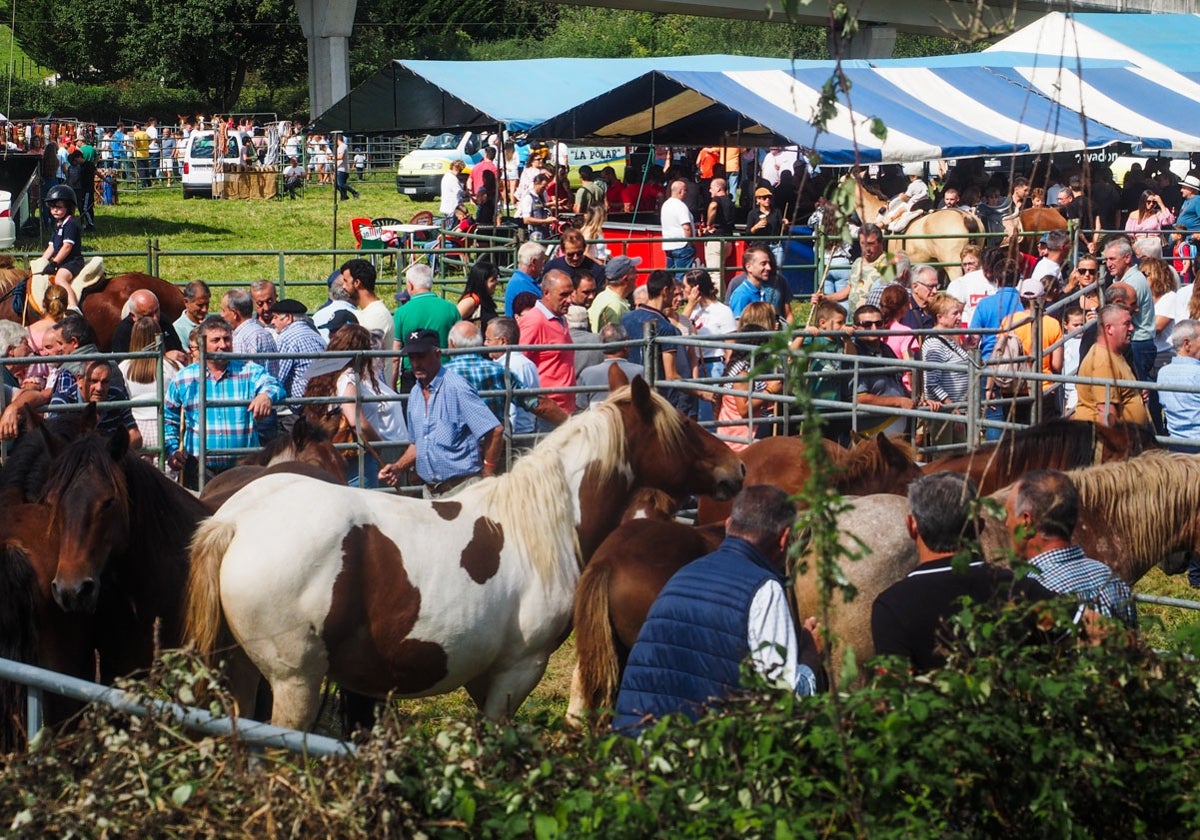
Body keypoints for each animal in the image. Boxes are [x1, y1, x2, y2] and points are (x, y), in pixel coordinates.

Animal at [182, 374, 744, 729]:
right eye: (685, 427)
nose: (734, 469)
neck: (542, 524)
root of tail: (235, 521)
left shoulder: (482, 674)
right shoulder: (519, 669)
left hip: (242, 674)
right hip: (294, 682)